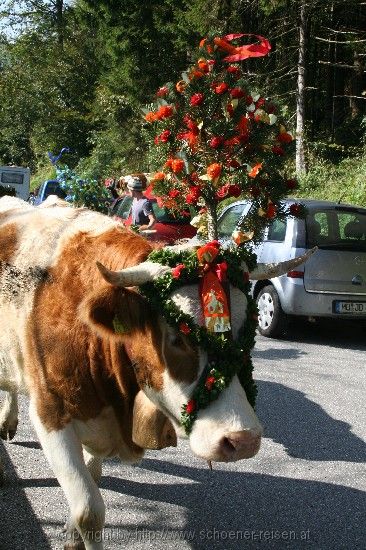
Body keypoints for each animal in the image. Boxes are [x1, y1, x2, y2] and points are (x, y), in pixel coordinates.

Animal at [0, 197, 314, 548]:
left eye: (249, 335)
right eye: (178, 337)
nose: (243, 440)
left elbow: (92, 477)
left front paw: (70, 533)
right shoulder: (50, 411)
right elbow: (89, 511)